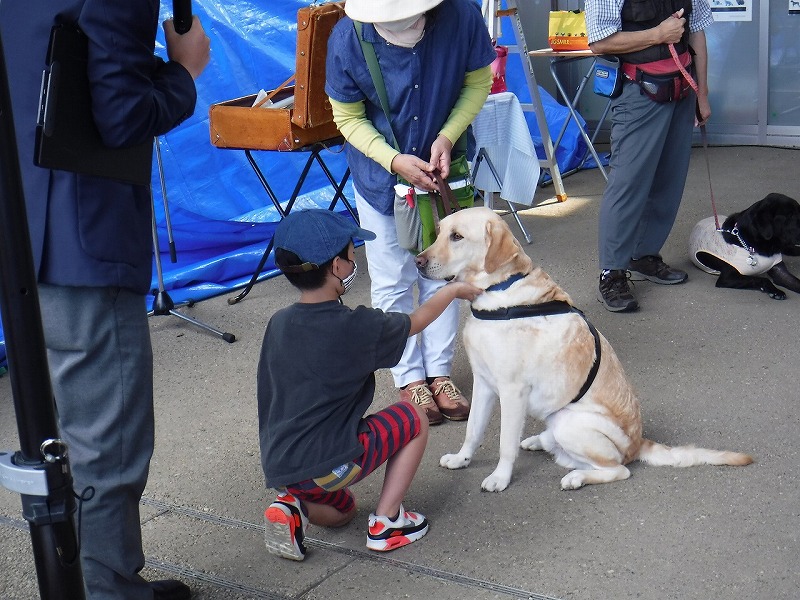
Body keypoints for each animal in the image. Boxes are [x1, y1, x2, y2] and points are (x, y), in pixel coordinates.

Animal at [416, 209, 752, 490]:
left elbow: (505, 444)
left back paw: (577, 476)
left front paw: (500, 477)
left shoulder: (512, 391)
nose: (417, 261)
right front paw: (461, 459)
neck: (500, 291)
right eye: (439, 232)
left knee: (618, 470)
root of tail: (638, 442)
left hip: (569, 421)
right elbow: (473, 431)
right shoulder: (484, 383)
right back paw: (539, 441)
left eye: (457, 237)